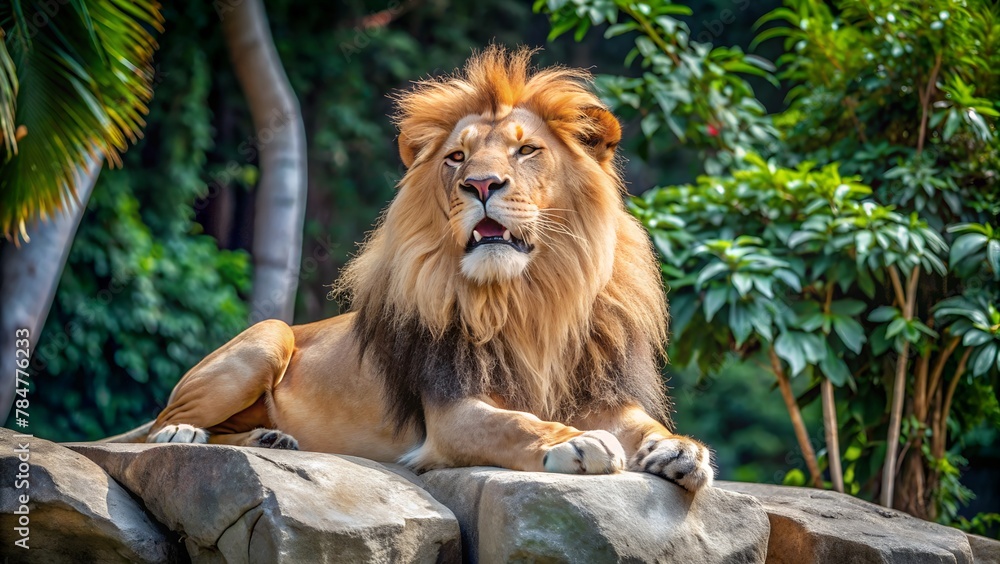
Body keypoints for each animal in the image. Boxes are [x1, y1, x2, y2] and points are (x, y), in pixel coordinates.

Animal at [112, 46, 714, 492]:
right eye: (457, 158)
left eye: (527, 152)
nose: (481, 185)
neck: (532, 297)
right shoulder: (450, 411)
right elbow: (513, 423)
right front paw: (573, 441)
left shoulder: (601, 391)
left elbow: (644, 424)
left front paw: (682, 450)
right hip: (268, 337)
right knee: (155, 428)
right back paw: (183, 435)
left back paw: (270, 441)